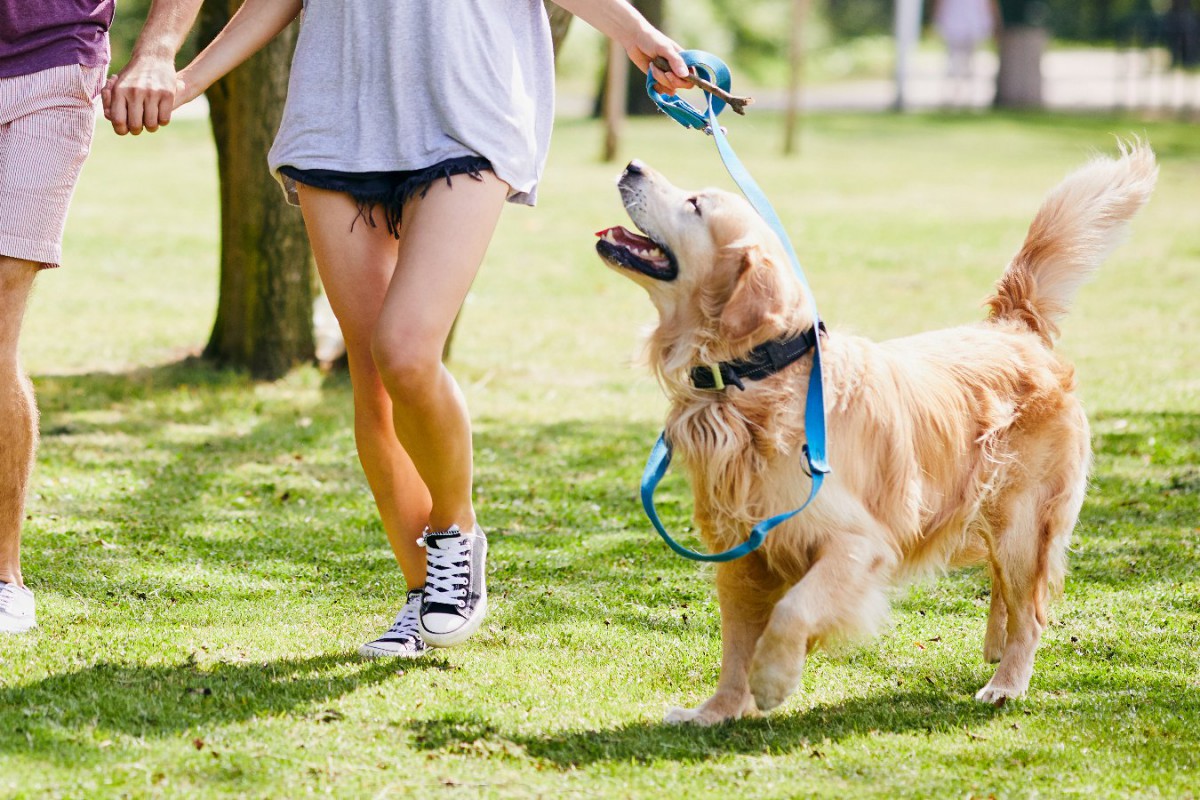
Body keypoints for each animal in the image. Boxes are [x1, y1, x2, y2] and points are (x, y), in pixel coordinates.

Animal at [595, 142, 1156, 724]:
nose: (632, 165)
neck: (757, 376)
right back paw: (996, 647)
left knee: (1033, 610)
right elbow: (735, 645)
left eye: (695, 204)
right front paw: (716, 711)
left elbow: (793, 610)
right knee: (1009, 592)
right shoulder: (740, 551)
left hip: (1024, 519)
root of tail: (1013, 325)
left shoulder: (858, 544)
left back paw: (1006, 682)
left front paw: (772, 680)